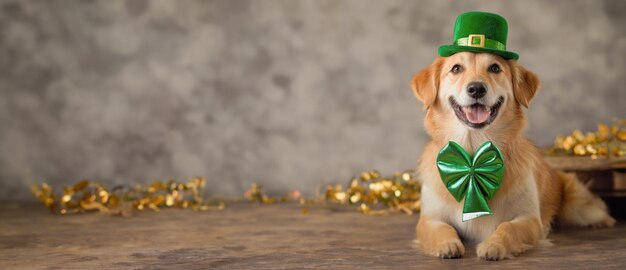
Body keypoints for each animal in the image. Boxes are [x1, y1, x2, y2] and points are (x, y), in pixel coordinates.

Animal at [410, 51, 616, 260]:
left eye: (494, 68)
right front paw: (447, 244)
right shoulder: (430, 218)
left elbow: (506, 228)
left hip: (579, 206)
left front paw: (493, 245)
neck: (474, 155)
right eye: (456, 69)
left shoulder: (529, 219)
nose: (476, 89)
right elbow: (442, 229)